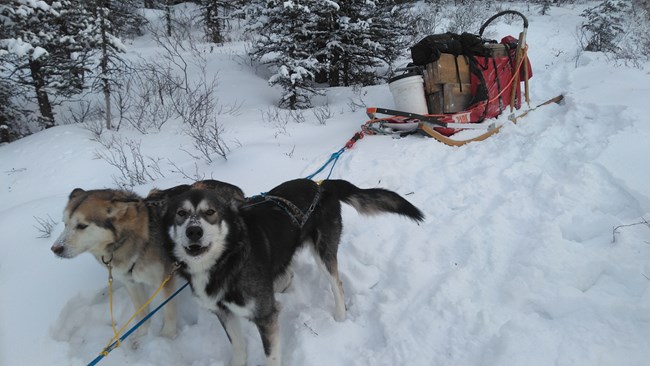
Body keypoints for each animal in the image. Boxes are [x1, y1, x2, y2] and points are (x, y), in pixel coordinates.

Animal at [50, 189, 178, 340]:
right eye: (65, 224)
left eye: (81, 225)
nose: (55, 249)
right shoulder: (131, 283)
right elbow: (142, 312)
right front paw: (141, 335)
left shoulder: (165, 280)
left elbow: (169, 310)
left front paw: (168, 335)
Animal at [162, 179, 426, 364]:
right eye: (180, 214)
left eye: (211, 212)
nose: (193, 231)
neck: (226, 260)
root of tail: (322, 186)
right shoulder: (223, 313)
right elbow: (238, 348)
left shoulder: (265, 316)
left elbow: (271, 356)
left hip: (323, 252)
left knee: (337, 284)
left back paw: (340, 317)